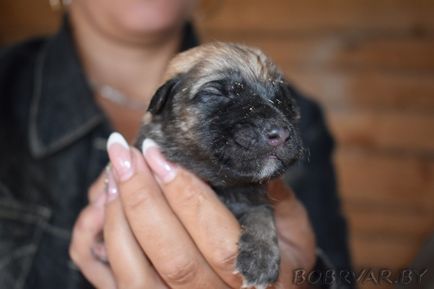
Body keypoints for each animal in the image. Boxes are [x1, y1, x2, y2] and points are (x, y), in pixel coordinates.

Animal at [135, 41, 302, 286]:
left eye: (281, 98)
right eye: (215, 93)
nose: (280, 133)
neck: (221, 184)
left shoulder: (253, 198)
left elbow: (261, 214)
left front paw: (261, 258)